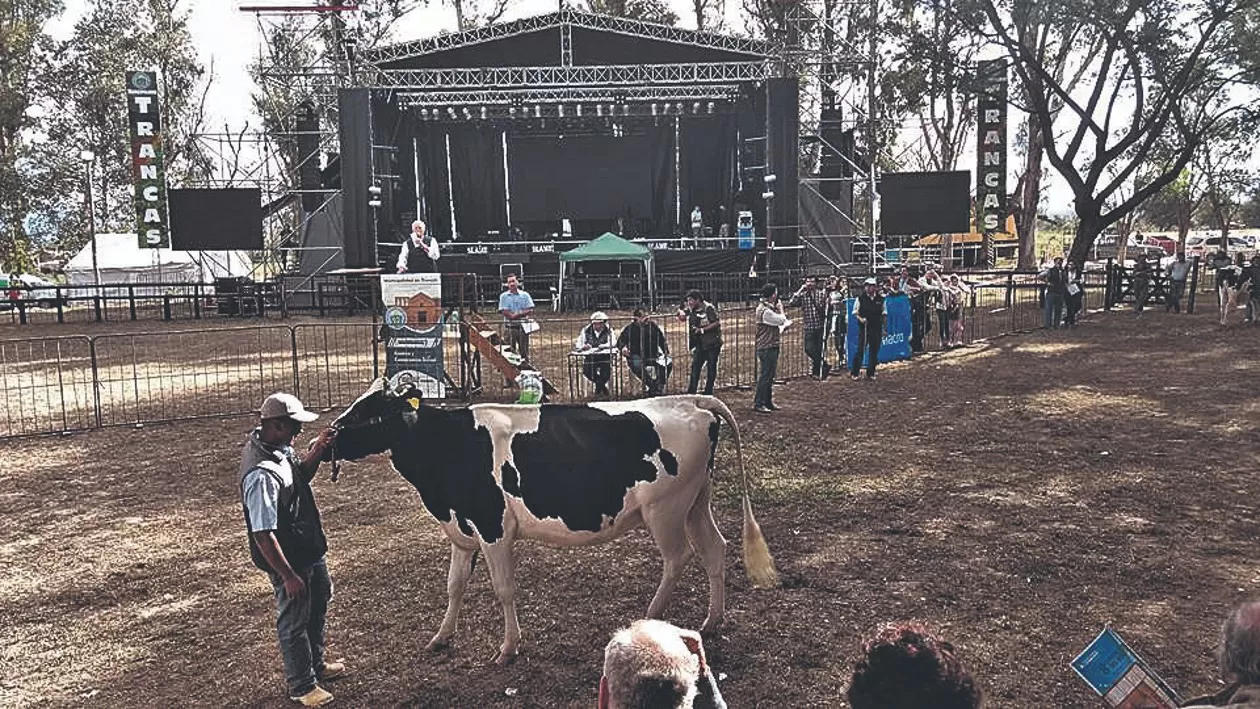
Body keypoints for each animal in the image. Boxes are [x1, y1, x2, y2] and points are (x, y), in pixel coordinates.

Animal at [330, 380, 771, 664]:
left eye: (369, 413)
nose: (331, 433)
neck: (448, 447)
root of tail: (691, 400)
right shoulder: (461, 531)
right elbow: (454, 586)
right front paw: (441, 637)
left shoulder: (493, 528)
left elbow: (504, 589)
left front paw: (508, 648)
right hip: (696, 500)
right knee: (714, 549)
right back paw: (711, 622)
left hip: (665, 508)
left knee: (678, 557)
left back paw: (652, 612)